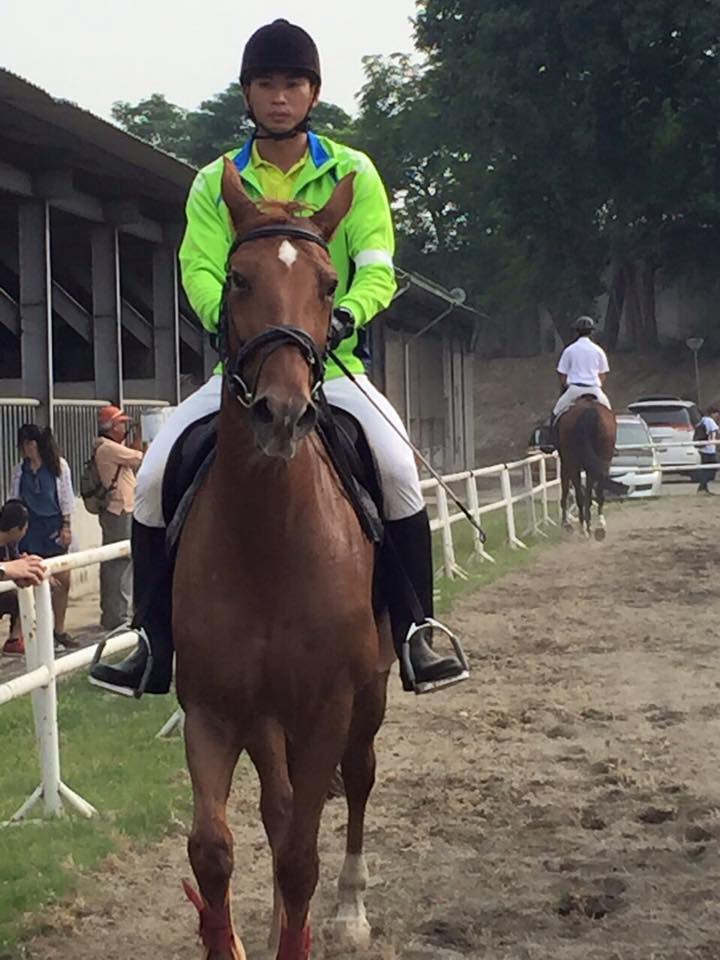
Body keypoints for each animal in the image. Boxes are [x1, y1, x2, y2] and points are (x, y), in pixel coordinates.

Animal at [171, 159, 395, 960]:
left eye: (330, 286)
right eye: (238, 278)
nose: (283, 413)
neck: (268, 539)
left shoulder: (329, 704)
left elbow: (302, 856)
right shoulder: (212, 706)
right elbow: (213, 850)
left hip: (368, 694)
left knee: (357, 781)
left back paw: (352, 909)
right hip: (265, 718)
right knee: (278, 804)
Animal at [557, 398, 618, 540]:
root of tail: (589, 411)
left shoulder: (566, 465)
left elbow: (566, 490)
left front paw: (567, 524)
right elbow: (589, 493)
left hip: (572, 465)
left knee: (579, 495)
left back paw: (582, 529)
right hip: (603, 460)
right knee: (599, 491)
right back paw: (599, 527)